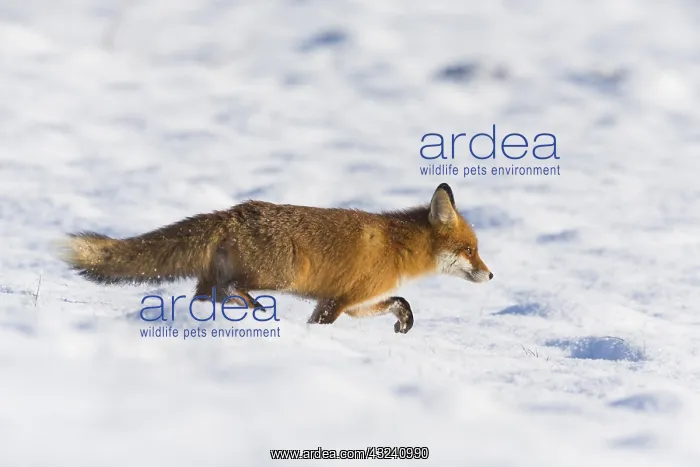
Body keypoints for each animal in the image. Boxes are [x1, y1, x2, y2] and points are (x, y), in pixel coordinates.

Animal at [59, 183, 492, 333]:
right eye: (470, 250)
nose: (490, 276)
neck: (397, 246)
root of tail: (232, 211)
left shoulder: (354, 301)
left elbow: (399, 303)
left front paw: (404, 322)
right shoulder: (335, 302)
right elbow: (320, 326)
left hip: (212, 282)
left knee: (205, 299)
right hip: (278, 276)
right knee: (232, 290)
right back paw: (258, 313)